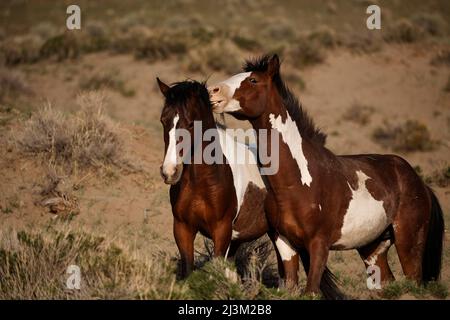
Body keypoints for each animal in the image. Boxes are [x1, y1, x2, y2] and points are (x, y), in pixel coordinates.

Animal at [156, 79, 342, 298]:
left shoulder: (221, 230)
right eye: (163, 120)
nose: (169, 172)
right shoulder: (183, 228)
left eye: (191, 123)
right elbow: (188, 270)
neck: (202, 181)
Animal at [209, 54, 444, 296]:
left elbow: (312, 290)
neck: (297, 182)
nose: (213, 91)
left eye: (253, 80)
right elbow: (291, 287)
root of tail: (420, 183)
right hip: (373, 248)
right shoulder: (285, 243)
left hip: (409, 243)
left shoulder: (319, 245)